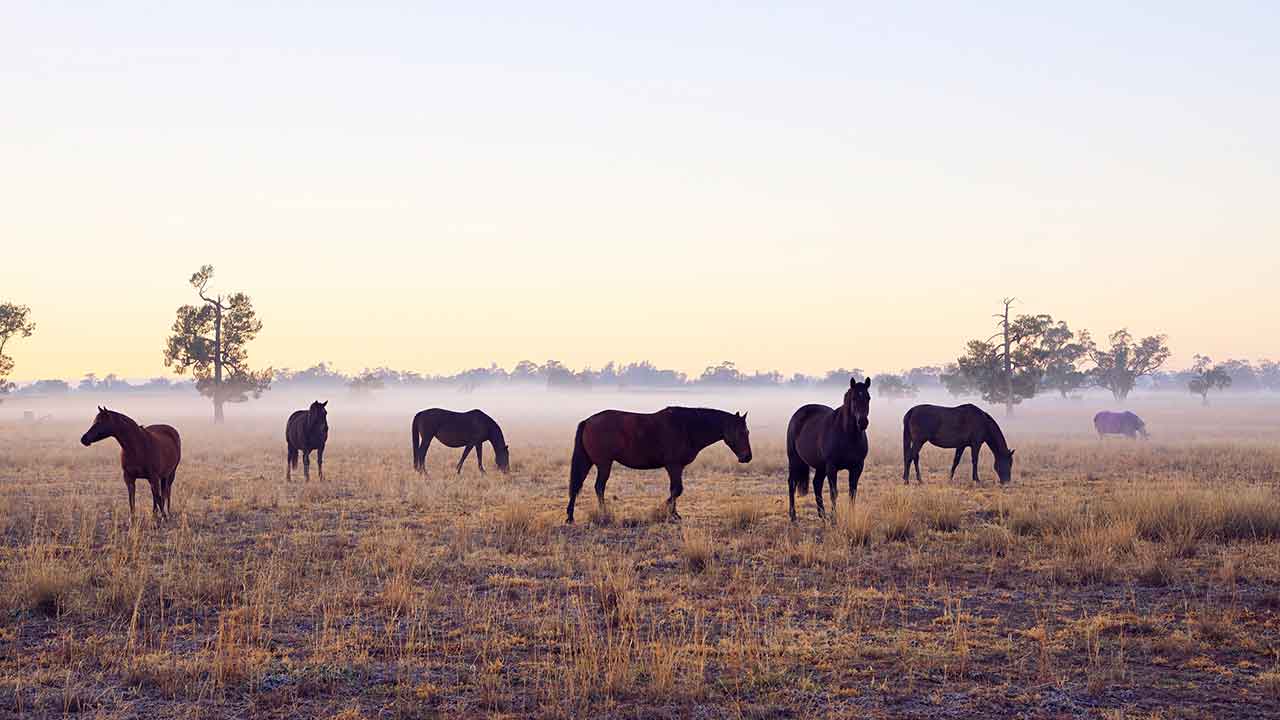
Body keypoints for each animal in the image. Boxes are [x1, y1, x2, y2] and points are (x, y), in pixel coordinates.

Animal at [568, 404, 752, 520]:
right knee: (599, 487)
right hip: (604, 464)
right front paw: (666, 511)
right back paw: (603, 514)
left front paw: (673, 513)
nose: (747, 457)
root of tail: (587, 421)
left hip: (588, 462)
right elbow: (677, 490)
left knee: (577, 486)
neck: (687, 427)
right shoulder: (673, 466)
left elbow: (675, 490)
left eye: (747, 432)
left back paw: (570, 516)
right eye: (742, 432)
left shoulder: (677, 468)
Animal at [778, 371, 870, 517]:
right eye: (854, 398)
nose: (863, 422)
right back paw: (793, 516)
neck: (847, 435)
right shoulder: (832, 466)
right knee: (792, 483)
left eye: (868, 398)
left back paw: (822, 515)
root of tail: (797, 415)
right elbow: (834, 493)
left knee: (817, 484)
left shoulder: (857, 466)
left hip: (820, 466)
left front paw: (850, 516)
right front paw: (834, 519)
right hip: (794, 459)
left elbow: (852, 492)